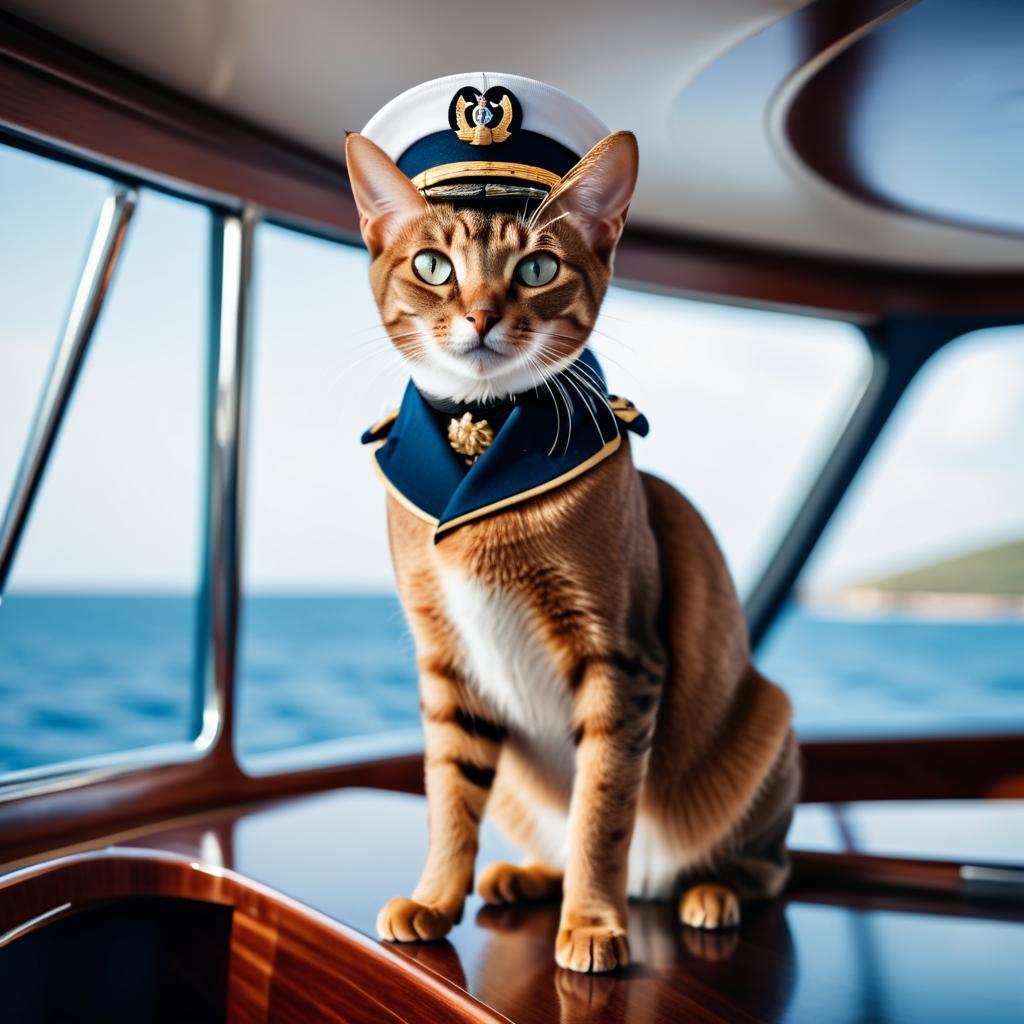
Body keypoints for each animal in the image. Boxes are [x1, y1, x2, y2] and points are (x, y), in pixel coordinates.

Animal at [344, 123, 798, 970]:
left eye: (537, 267)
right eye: (433, 266)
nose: (481, 317)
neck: (483, 430)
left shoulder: (618, 653)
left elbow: (602, 806)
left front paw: (590, 922)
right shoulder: (448, 662)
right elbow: (450, 795)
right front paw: (435, 899)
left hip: (767, 719)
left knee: (769, 867)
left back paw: (708, 893)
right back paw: (524, 876)